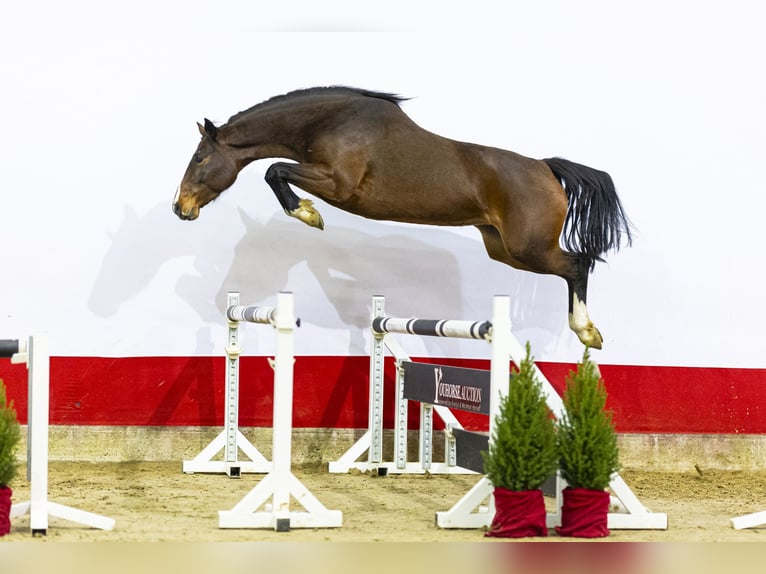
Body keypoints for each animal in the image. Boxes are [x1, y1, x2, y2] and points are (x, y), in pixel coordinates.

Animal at [173, 86, 632, 349]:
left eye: (199, 158)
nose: (180, 208)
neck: (331, 123)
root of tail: (545, 168)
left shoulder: (337, 184)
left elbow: (275, 170)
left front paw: (307, 213)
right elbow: (277, 171)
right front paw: (307, 214)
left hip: (529, 248)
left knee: (578, 264)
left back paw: (587, 331)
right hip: (503, 249)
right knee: (573, 265)